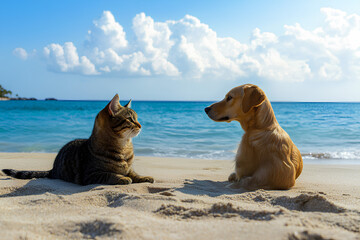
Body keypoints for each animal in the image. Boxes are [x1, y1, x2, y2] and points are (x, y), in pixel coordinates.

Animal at [2, 94, 155, 185]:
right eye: (130, 119)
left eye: (137, 118)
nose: (141, 125)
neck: (124, 146)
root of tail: (53, 169)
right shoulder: (91, 175)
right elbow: (110, 174)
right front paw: (122, 178)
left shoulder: (130, 168)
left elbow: (134, 173)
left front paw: (144, 177)